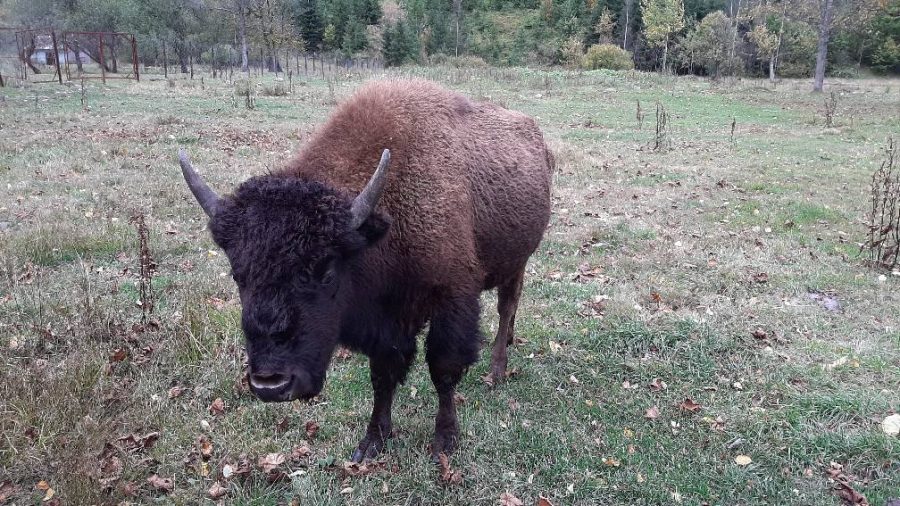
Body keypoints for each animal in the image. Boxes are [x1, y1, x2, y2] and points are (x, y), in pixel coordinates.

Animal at [179, 79, 552, 462]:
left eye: (326, 271)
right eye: (238, 275)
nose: (270, 383)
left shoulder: (453, 298)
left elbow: (443, 370)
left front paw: (444, 441)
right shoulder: (387, 320)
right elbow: (383, 376)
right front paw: (372, 441)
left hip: (518, 262)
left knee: (507, 307)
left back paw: (497, 370)